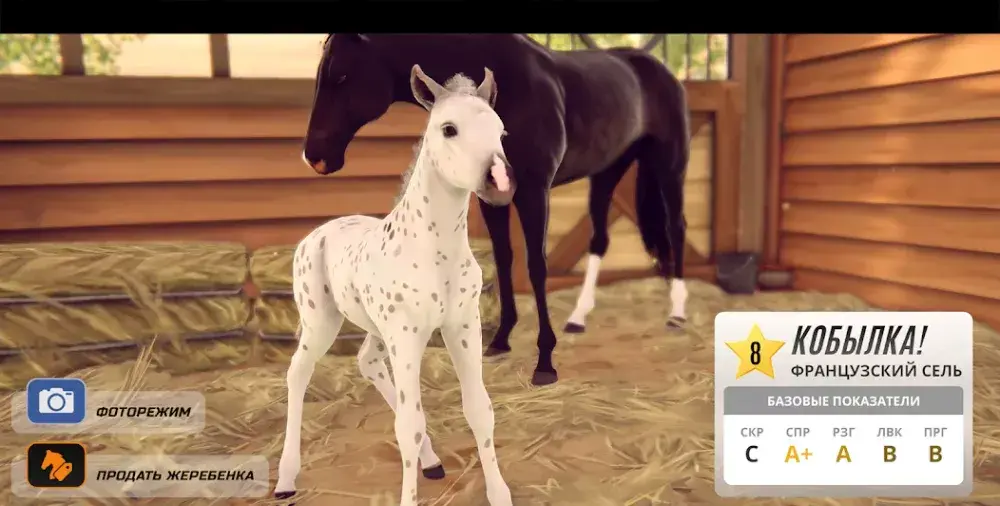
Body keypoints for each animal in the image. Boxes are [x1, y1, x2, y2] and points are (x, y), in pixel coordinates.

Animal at [275, 66, 516, 506]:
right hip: (322, 322)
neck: (435, 253)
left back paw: (431, 461)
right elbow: (409, 425)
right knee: (298, 373)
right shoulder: (406, 333)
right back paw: (286, 479)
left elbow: (479, 410)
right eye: (448, 128)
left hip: (377, 327)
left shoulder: (462, 326)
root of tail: (314, 234)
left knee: (367, 362)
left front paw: (499, 493)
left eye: (501, 130)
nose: (500, 181)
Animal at [301, 34, 691, 387]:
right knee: (600, 239)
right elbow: (504, 259)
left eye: (342, 76)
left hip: (669, 165)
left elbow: (536, 267)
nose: (314, 157)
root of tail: (661, 71)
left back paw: (677, 314)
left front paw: (545, 363)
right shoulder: (491, 198)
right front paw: (501, 340)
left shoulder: (534, 192)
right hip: (608, 171)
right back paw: (579, 317)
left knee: (676, 227)